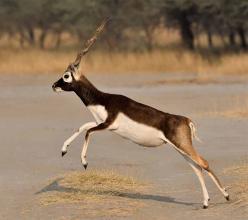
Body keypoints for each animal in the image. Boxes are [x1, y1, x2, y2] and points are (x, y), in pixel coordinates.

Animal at [51, 18, 229, 208]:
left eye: (66, 76)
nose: (53, 85)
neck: (102, 99)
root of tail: (186, 120)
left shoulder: (108, 124)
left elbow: (88, 132)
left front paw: (84, 162)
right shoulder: (102, 123)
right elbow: (82, 127)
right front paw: (63, 150)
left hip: (182, 145)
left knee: (204, 163)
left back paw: (226, 195)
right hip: (180, 148)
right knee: (197, 168)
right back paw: (205, 202)